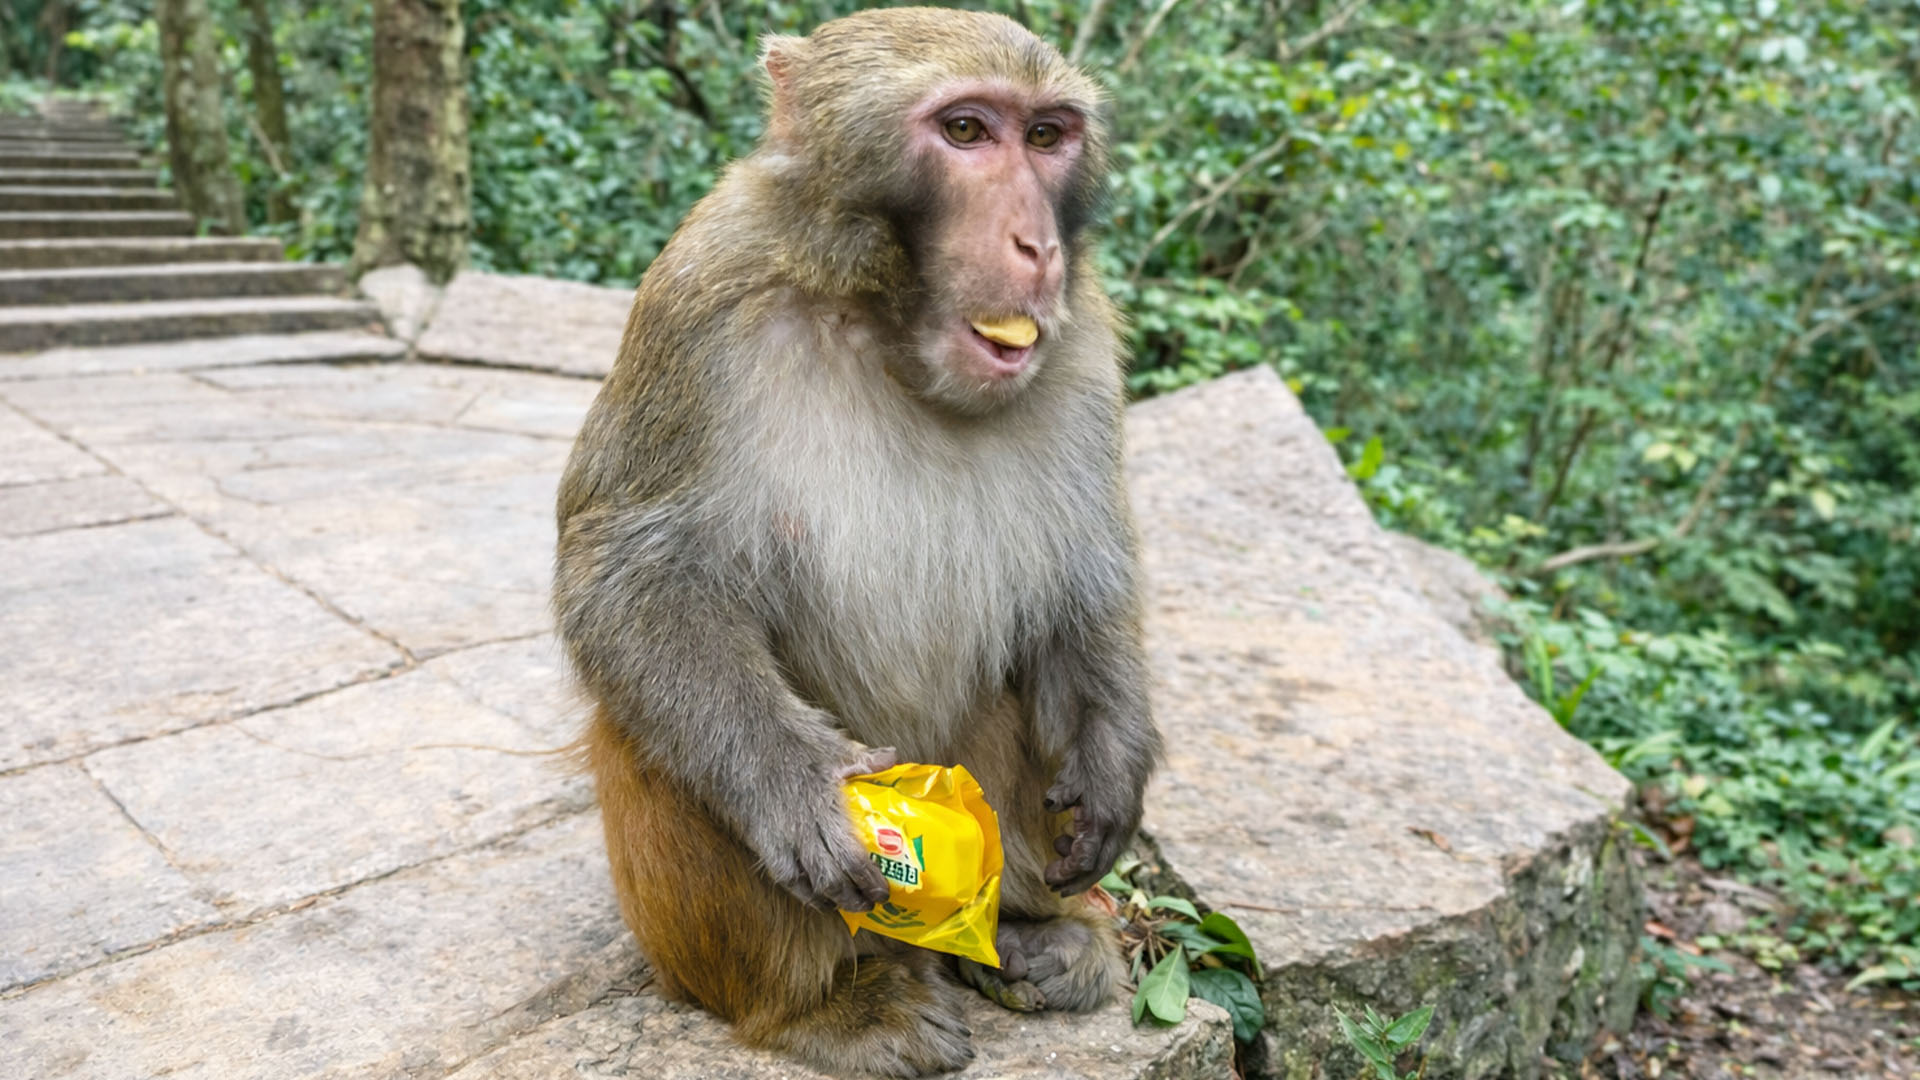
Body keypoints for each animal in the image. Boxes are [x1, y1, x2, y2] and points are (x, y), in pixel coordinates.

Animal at [553, 8, 1160, 1076]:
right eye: (965, 131)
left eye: (1047, 136)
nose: (1036, 247)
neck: (884, 327)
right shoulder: (700, 303)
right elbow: (625, 576)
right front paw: (798, 792)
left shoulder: (1084, 342)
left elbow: (1082, 581)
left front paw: (1113, 758)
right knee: (645, 726)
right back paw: (822, 1006)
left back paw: (1029, 931)